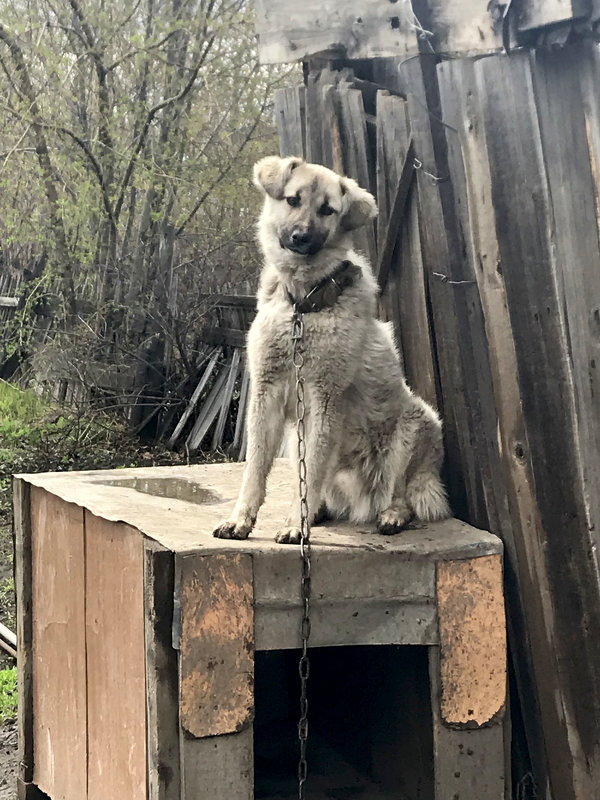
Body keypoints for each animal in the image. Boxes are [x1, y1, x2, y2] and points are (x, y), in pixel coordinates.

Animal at [213, 155, 448, 544]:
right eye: (293, 200)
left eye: (327, 210)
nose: (300, 237)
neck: (303, 306)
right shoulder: (267, 394)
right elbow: (256, 469)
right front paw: (241, 519)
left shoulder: (324, 400)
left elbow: (308, 477)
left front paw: (296, 524)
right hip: (296, 440)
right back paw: (322, 510)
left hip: (415, 425)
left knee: (401, 492)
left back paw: (391, 515)